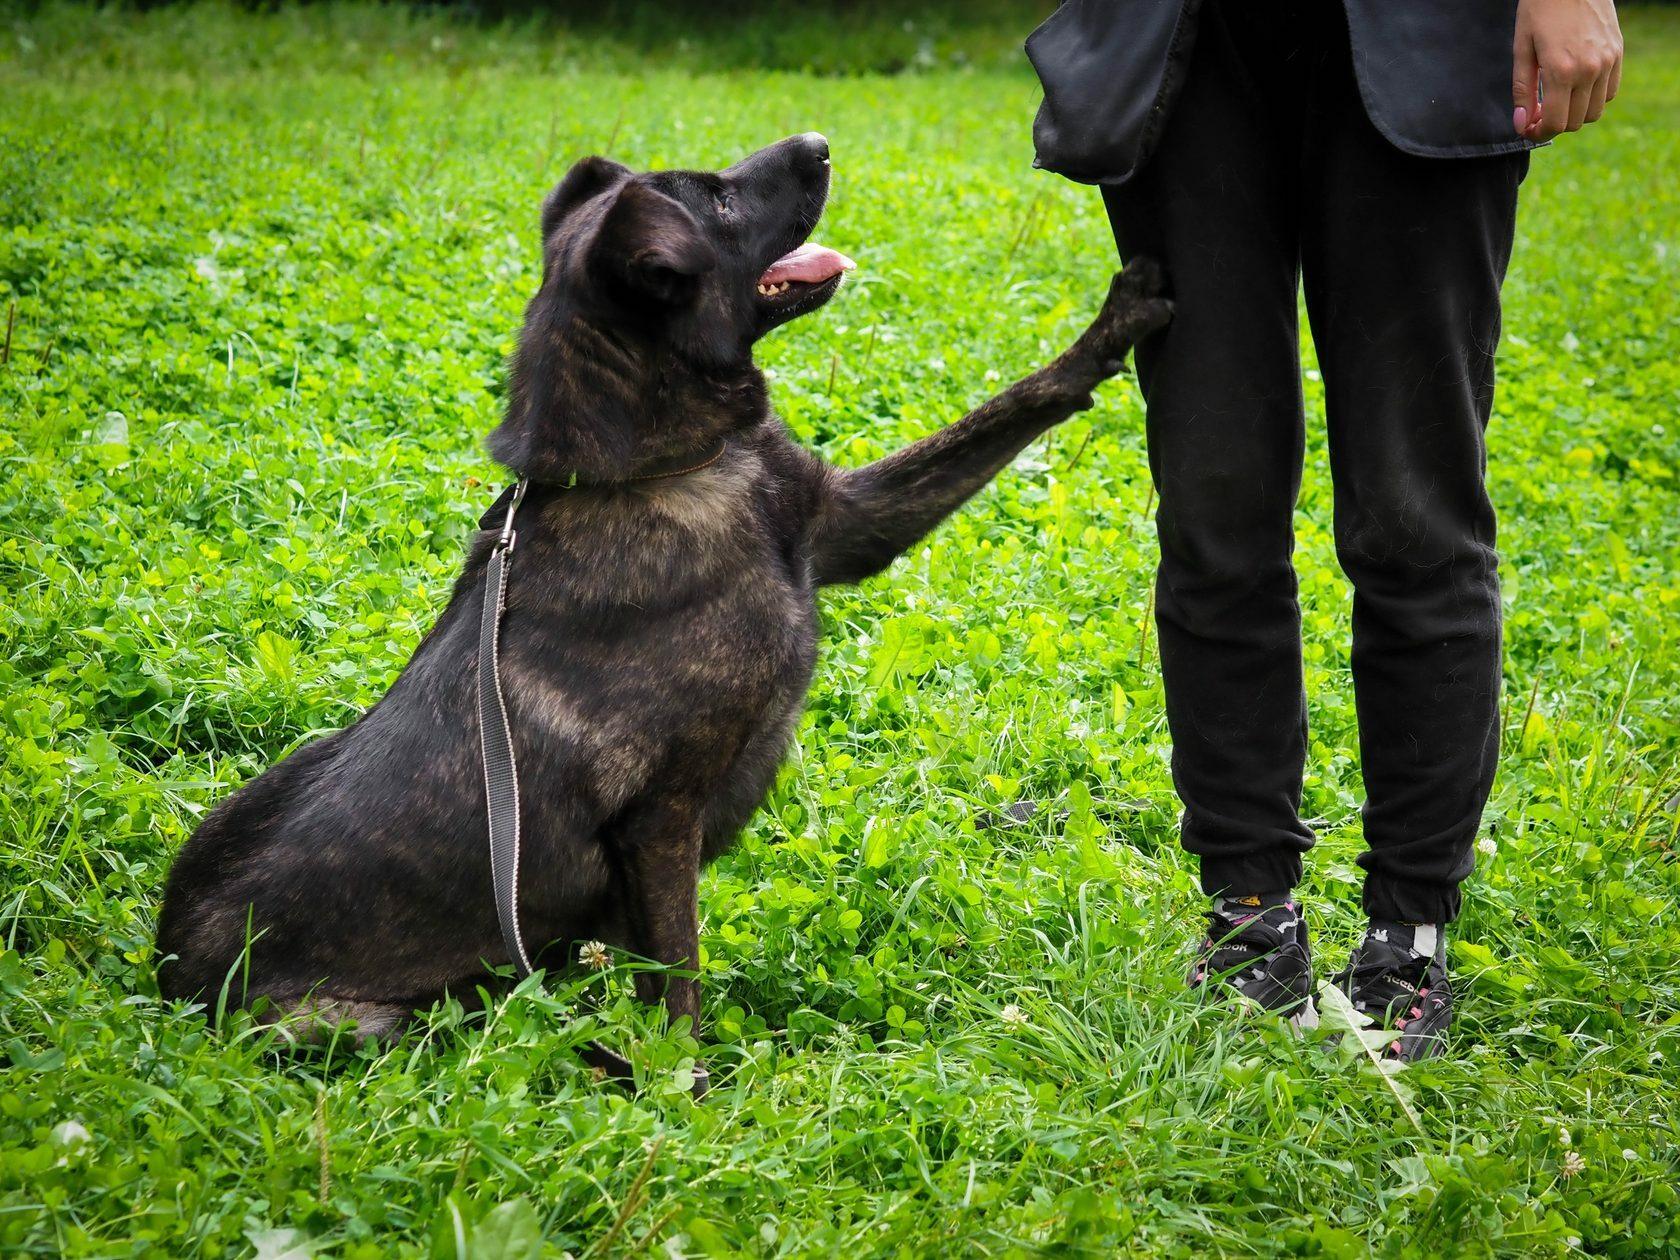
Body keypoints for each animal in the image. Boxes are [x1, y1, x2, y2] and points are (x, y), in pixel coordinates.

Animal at [157, 136, 1169, 1088]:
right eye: (718, 200)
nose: (819, 143)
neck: (655, 470)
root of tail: (172, 988)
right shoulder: (660, 822)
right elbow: (678, 986)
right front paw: (686, 1100)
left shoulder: (850, 525)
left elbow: (1018, 402)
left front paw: (1111, 327)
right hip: (350, 1023)